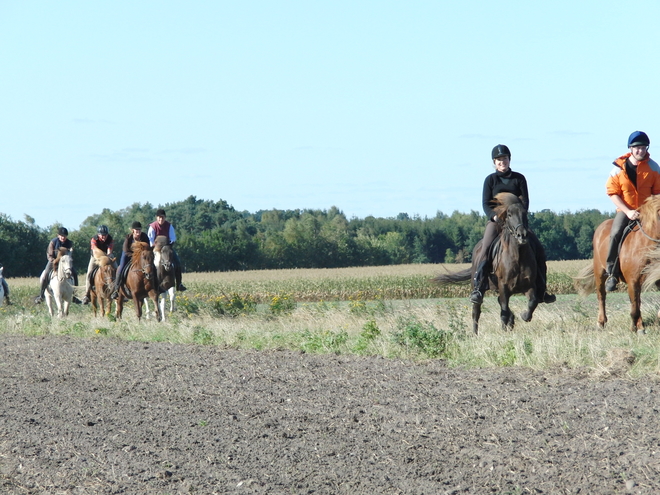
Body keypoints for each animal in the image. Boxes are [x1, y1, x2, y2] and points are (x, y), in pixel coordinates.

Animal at [434, 192, 540, 336]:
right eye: (509, 214)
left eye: (525, 213)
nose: (522, 235)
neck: (517, 256)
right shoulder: (503, 285)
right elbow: (504, 311)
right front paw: (504, 331)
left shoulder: (529, 285)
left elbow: (532, 302)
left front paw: (524, 316)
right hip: (478, 286)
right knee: (476, 311)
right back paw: (475, 334)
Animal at [576, 196, 660, 336]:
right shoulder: (633, 281)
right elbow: (634, 308)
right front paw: (634, 328)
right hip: (600, 273)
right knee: (601, 296)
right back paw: (601, 322)